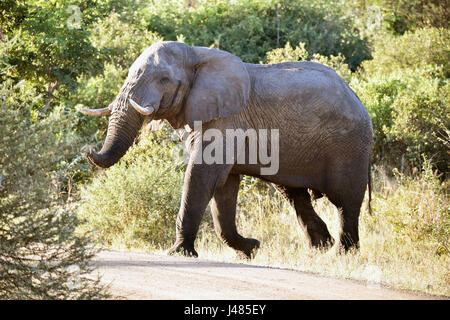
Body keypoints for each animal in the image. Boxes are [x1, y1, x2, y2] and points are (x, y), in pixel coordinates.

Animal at [77, 41, 372, 258]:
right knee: (295, 194)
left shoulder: (227, 118)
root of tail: (358, 98)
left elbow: (202, 175)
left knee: (346, 201)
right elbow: (223, 187)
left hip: (350, 146)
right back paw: (321, 248)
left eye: (163, 79)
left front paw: (178, 253)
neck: (196, 54)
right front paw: (250, 249)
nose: (86, 151)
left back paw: (342, 254)